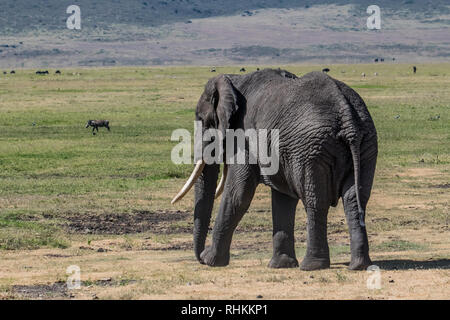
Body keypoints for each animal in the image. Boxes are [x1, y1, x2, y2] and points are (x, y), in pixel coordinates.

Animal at [172, 68, 376, 270]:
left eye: (201, 119)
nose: (199, 258)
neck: (234, 81)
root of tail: (346, 115)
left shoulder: (244, 137)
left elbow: (238, 194)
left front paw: (210, 260)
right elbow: (283, 199)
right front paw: (281, 265)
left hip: (311, 149)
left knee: (316, 201)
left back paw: (311, 266)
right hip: (364, 144)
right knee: (354, 199)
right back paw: (359, 265)